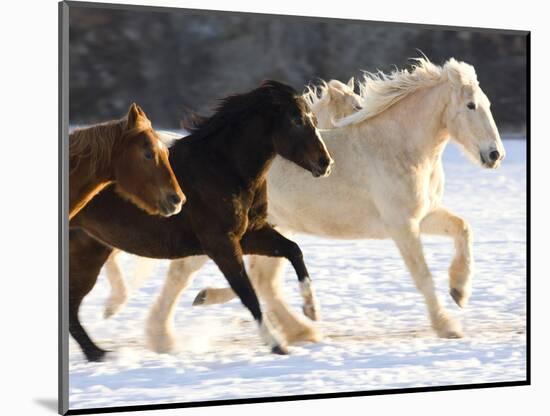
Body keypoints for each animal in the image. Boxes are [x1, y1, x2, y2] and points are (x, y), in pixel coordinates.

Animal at [70, 80, 336, 360]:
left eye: (313, 119)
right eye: (295, 120)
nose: (325, 163)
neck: (223, 169)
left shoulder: (250, 234)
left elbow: (293, 250)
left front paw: (311, 309)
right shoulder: (221, 244)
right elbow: (247, 293)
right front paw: (276, 343)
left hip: (90, 254)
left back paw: (97, 353)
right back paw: (99, 352)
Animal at [116, 57, 508, 354]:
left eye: (488, 104)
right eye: (471, 105)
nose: (495, 155)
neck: (398, 147)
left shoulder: (422, 216)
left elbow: (463, 228)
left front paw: (460, 291)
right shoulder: (402, 225)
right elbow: (423, 276)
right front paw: (448, 326)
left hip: (264, 229)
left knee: (262, 281)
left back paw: (299, 329)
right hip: (223, 235)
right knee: (185, 275)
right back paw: (164, 338)